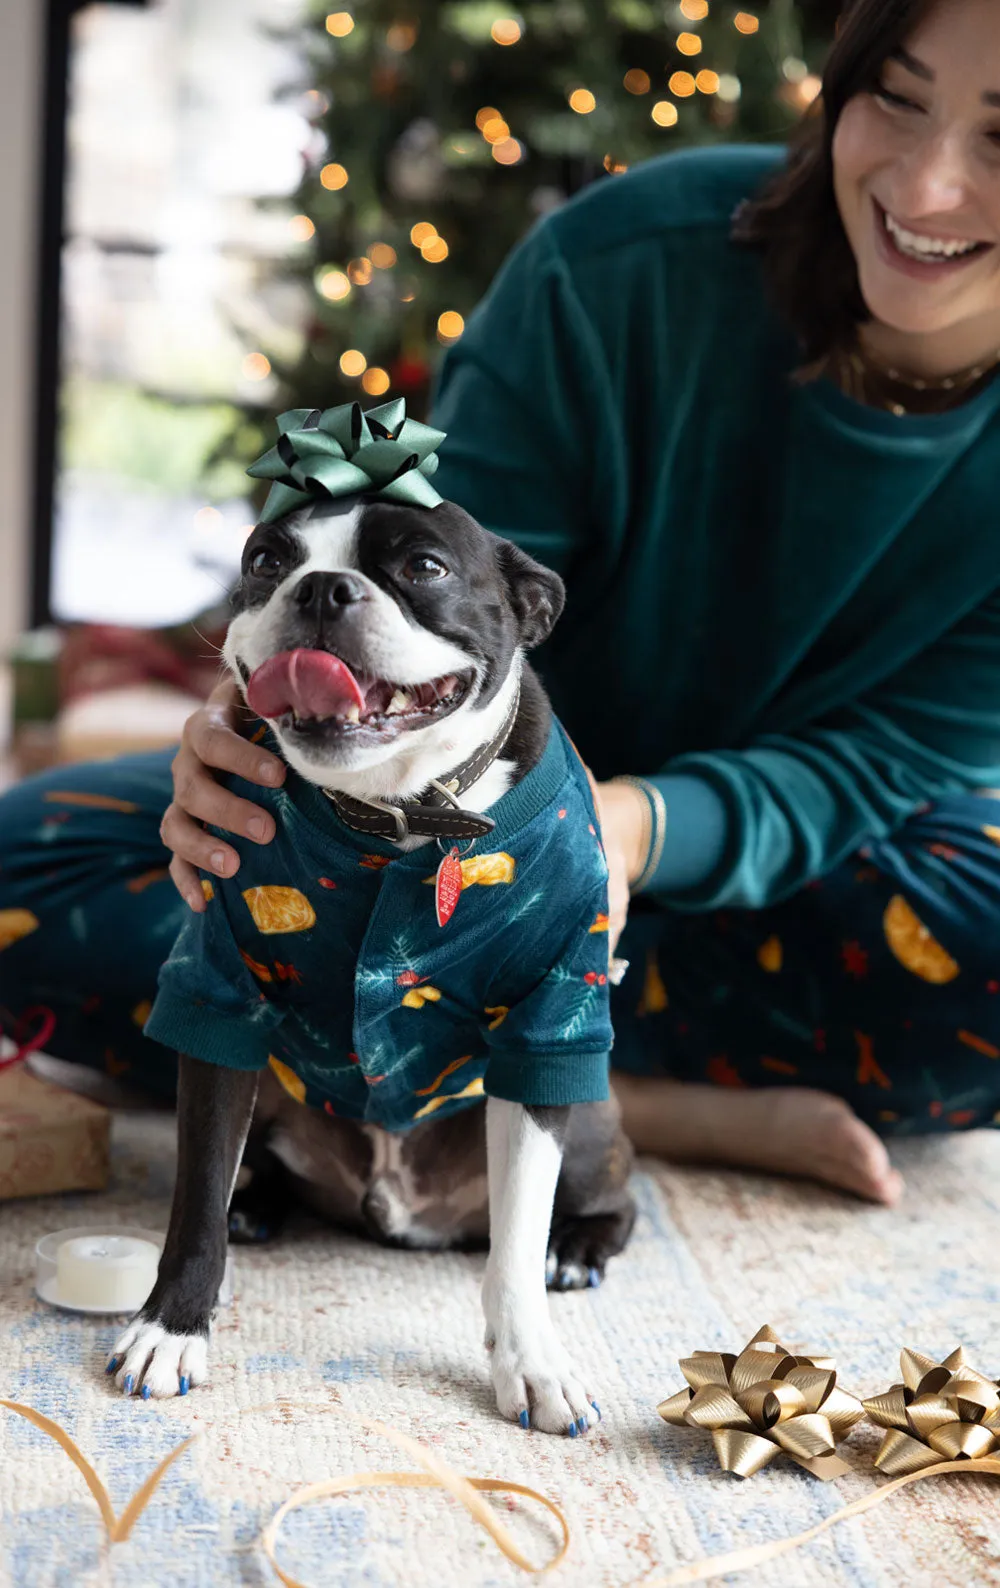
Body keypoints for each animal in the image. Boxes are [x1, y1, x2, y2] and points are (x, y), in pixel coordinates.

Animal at [107, 403, 634, 1435]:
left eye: (424, 567)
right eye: (267, 558)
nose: (321, 588)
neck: (397, 816)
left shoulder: (553, 1016)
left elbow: (517, 1235)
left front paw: (532, 1361)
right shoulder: (219, 995)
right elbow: (194, 1194)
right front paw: (172, 1327)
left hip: (590, 1107)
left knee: (602, 1202)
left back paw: (579, 1248)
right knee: (247, 1170)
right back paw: (255, 1203)